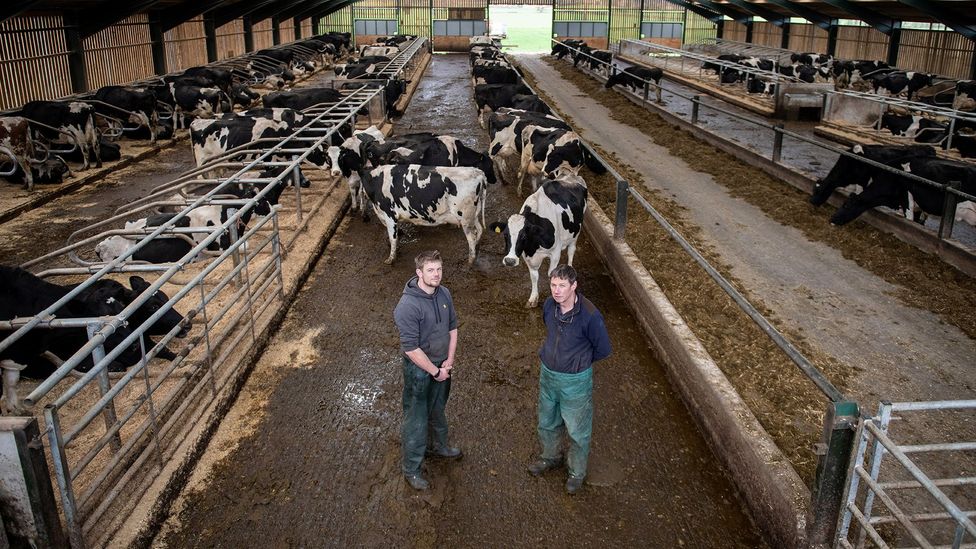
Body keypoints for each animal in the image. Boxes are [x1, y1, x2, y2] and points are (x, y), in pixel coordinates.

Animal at [358, 164, 488, 264]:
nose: (364, 216)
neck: (377, 182)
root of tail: (478, 172)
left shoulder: (389, 215)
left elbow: (392, 237)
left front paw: (391, 258)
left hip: (465, 218)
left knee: (472, 236)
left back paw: (470, 260)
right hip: (473, 215)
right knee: (479, 229)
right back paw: (476, 248)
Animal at [488, 173, 588, 306]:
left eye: (524, 236)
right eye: (505, 235)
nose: (510, 261)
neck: (534, 246)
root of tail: (571, 175)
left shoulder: (555, 253)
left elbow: (552, 275)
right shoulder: (527, 255)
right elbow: (534, 276)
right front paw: (533, 298)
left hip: (576, 231)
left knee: (571, 250)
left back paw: (570, 267)